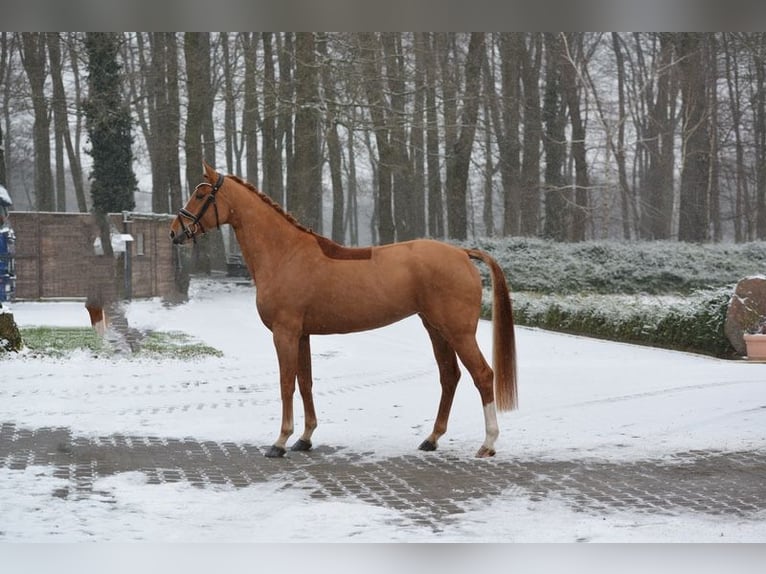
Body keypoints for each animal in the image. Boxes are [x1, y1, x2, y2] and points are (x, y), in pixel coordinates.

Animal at [172, 163, 520, 460]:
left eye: (201, 195)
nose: (175, 232)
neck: (285, 254)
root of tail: (462, 253)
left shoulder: (285, 333)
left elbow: (286, 384)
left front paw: (280, 441)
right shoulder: (302, 335)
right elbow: (305, 382)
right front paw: (305, 438)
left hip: (459, 332)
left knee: (482, 375)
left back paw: (487, 444)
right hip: (435, 329)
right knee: (450, 376)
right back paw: (431, 439)